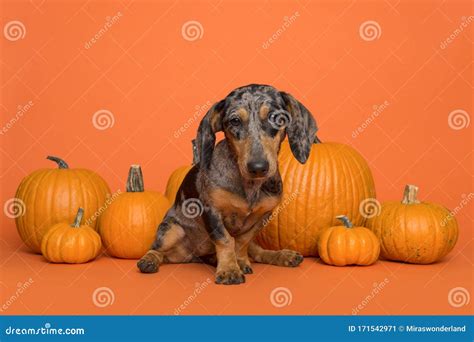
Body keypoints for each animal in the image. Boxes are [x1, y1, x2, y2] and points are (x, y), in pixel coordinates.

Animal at [139, 84, 320, 284]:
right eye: (235, 121)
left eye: (276, 118)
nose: (258, 167)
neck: (250, 187)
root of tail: (194, 255)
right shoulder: (211, 211)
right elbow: (226, 240)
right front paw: (229, 270)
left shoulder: (262, 216)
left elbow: (241, 242)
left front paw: (239, 263)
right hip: (171, 231)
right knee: (157, 250)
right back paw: (149, 261)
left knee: (258, 252)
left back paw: (282, 256)